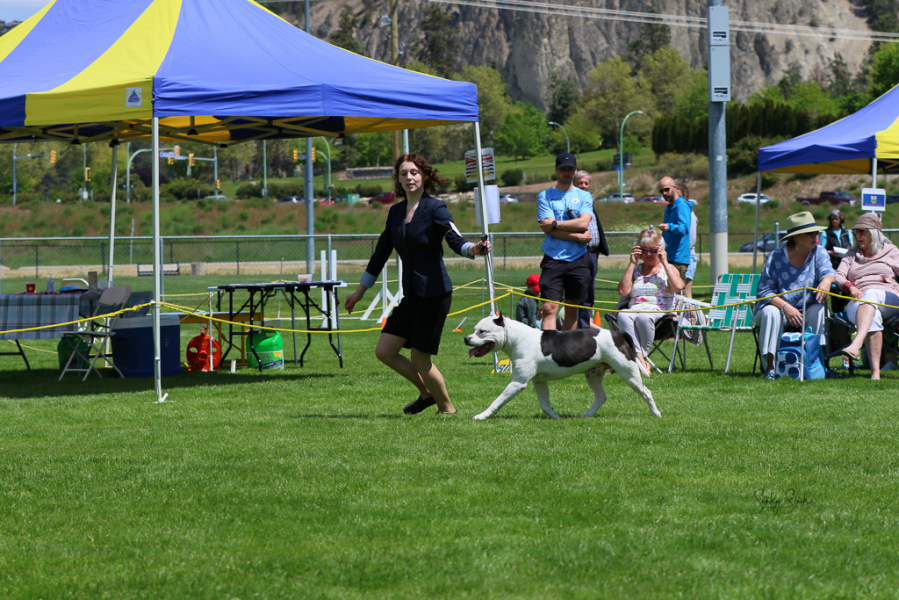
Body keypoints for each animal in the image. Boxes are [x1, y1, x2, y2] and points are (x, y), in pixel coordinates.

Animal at [464, 313, 661, 420]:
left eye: (482, 331)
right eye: (474, 329)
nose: (466, 338)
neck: (517, 338)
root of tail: (618, 333)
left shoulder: (517, 383)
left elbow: (497, 401)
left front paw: (482, 415)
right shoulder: (538, 382)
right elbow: (545, 404)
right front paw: (555, 416)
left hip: (629, 373)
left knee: (646, 392)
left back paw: (656, 413)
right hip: (593, 375)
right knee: (601, 397)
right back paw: (587, 415)